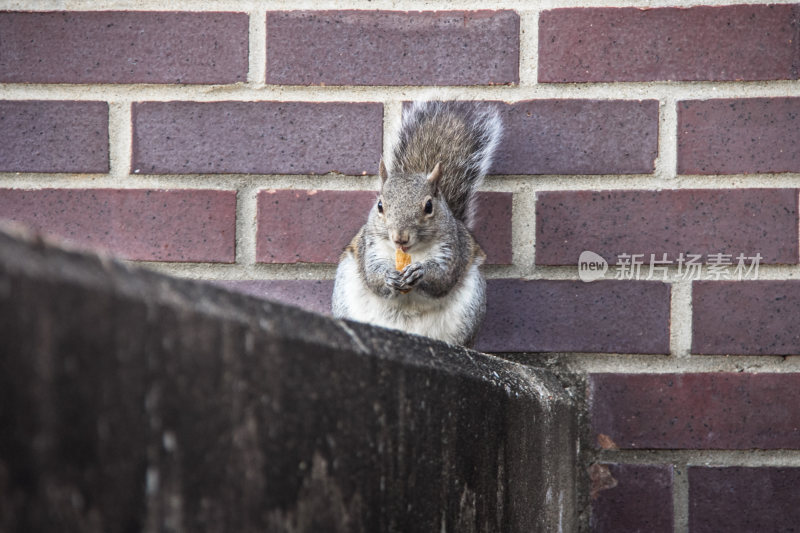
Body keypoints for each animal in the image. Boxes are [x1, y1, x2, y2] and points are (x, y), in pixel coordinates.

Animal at [332, 100, 500, 348]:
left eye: (429, 206)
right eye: (380, 205)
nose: (400, 238)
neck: (409, 253)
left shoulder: (452, 249)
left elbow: (442, 278)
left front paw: (420, 271)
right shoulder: (370, 248)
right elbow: (373, 276)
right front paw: (388, 277)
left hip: (470, 306)